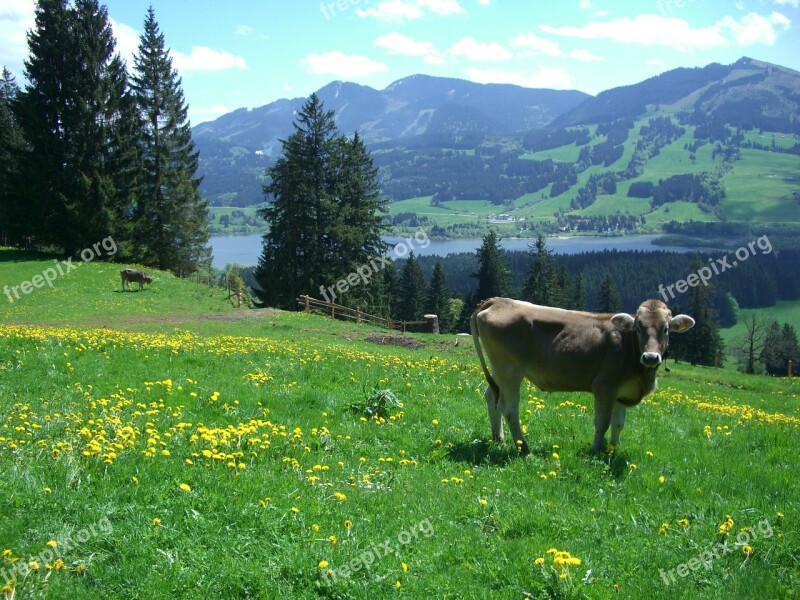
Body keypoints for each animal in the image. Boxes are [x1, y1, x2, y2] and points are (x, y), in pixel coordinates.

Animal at [472, 298, 692, 452]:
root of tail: (498, 300)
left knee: (491, 397)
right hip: (509, 370)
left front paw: (613, 448)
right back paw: (523, 446)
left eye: (666, 329)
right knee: (509, 408)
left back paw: (498, 438)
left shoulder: (622, 391)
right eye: (638, 328)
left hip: (498, 369)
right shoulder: (605, 387)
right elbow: (602, 423)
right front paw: (596, 450)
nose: (650, 357)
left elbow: (618, 423)